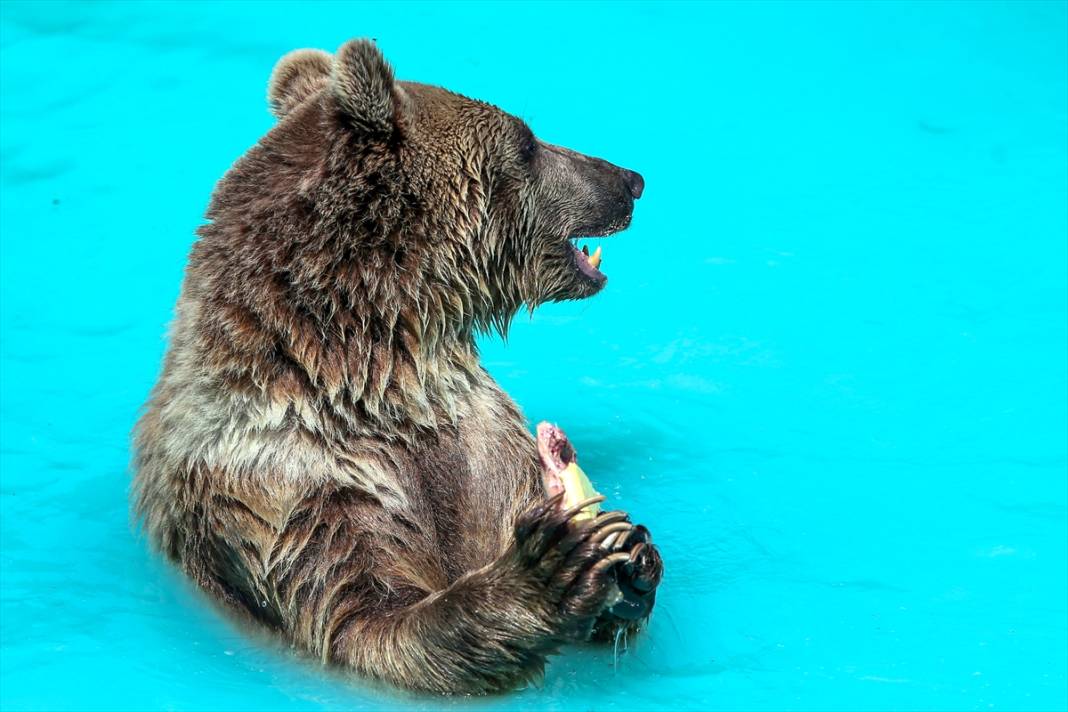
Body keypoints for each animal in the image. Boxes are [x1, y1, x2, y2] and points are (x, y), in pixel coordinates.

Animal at [134, 40, 662, 695]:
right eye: (527, 143)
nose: (630, 180)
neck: (381, 379)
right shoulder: (286, 490)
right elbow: (364, 620)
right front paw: (550, 566)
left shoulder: (479, 439)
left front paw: (632, 551)